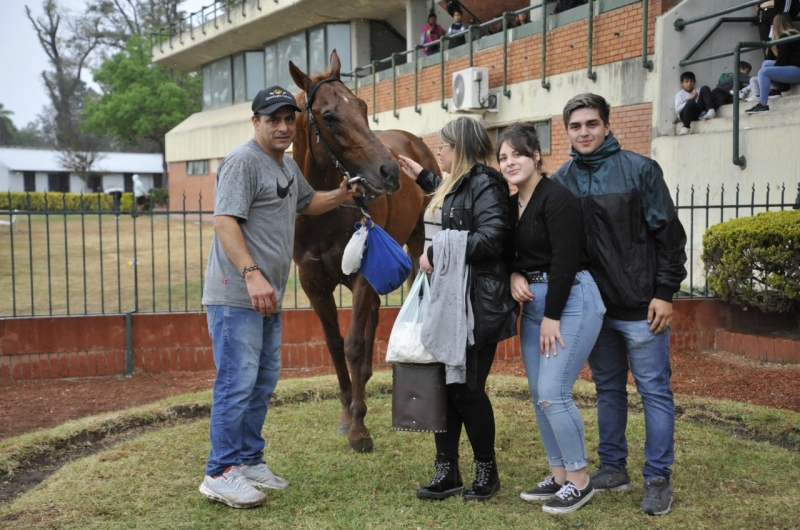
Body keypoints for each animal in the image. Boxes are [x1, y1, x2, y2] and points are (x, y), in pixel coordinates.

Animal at [288, 51, 438, 450]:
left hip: (417, 243)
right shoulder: (313, 282)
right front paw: (347, 415)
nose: (389, 170)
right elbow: (334, 344)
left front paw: (359, 428)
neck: (325, 214)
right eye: (329, 116)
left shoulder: (363, 275)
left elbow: (354, 344)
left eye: (362, 106)